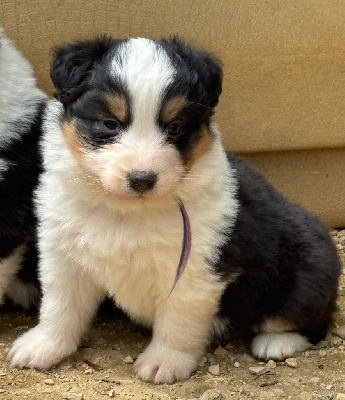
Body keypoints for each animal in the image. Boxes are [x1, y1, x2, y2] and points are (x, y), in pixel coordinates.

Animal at [8, 36, 342, 382]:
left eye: (175, 128)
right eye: (110, 123)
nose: (142, 179)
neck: (127, 213)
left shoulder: (193, 269)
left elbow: (177, 321)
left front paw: (164, 361)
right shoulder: (64, 257)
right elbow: (60, 308)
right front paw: (43, 346)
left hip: (307, 274)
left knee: (312, 321)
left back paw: (276, 343)